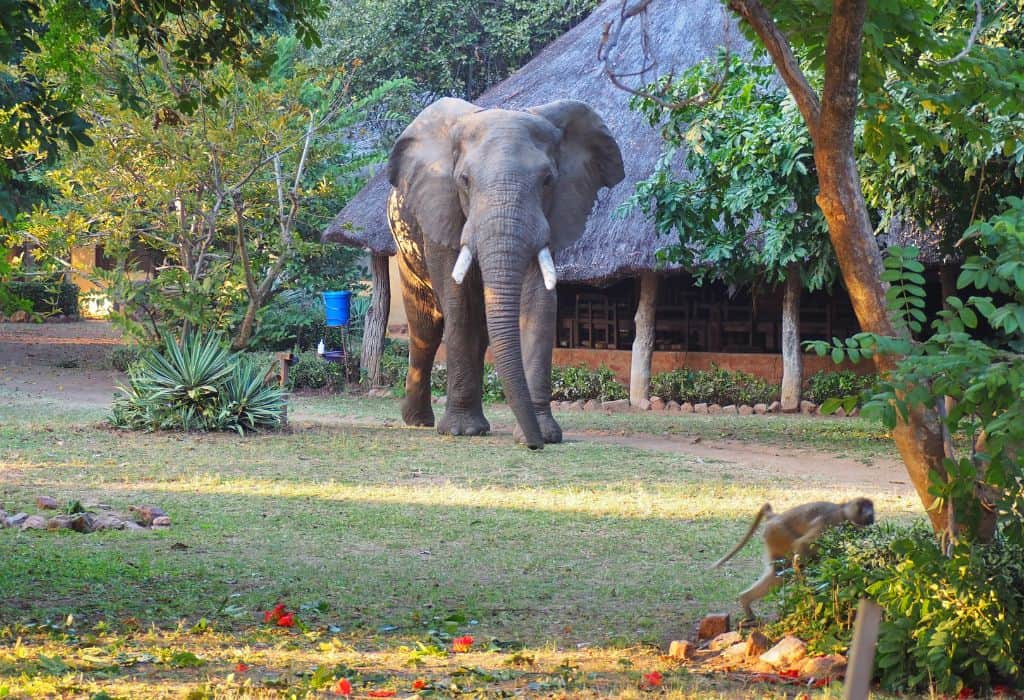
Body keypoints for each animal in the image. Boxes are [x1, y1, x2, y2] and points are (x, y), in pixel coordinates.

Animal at [385, 97, 618, 448]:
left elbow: (539, 303)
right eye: (464, 180)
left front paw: (545, 434)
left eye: (547, 180)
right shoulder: (441, 210)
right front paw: (460, 432)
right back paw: (420, 422)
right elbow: (459, 304)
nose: (534, 447)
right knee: (425, 328)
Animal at [708, 497, 876, 618]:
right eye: (864, 506)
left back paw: (745, 600)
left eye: (871, 507)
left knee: (779, 573)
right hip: (778, 533)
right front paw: (808, 591)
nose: (872, 514)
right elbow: (801, 545)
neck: (843, 511)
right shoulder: (831, 521)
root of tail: (775, 517)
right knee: (786, 565)